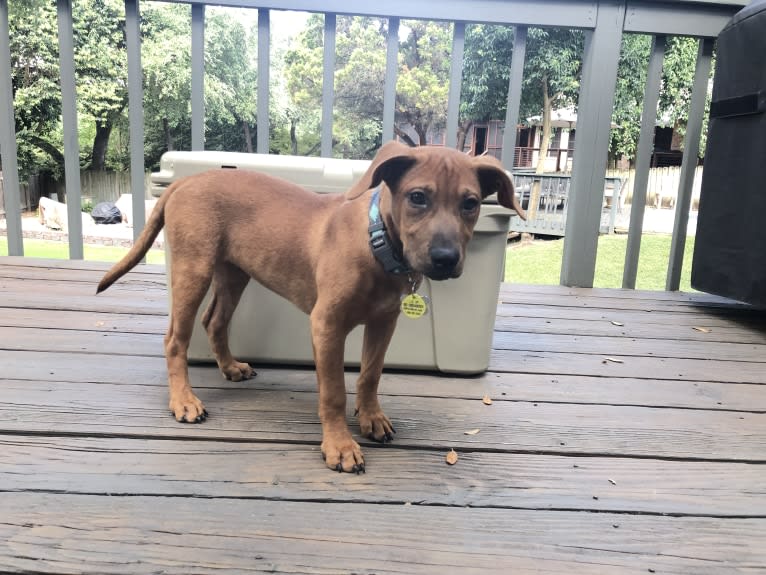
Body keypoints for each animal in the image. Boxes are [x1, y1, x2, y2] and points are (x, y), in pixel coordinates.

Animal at [97, 143, 528, 472]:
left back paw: (230, 367)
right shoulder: (327, 324)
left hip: (234, 272)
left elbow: (369, 375)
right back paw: (184, 401)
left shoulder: (384, 322)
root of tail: (185, 181)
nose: (445, 259)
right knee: (175, 338)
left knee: (214, 320)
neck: (376, 244)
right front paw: (340, 445)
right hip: (194, 268)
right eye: (418, 197)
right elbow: (334, 391)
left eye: (470, 204)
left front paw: (371, 418)